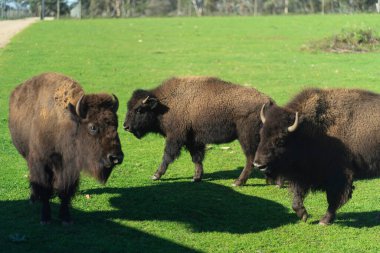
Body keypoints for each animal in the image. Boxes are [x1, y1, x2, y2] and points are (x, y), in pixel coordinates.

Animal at [8, 72, 124, 224]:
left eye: (116, 124)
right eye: (93, 127)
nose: (116, 157)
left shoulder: (70, 167)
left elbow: (65, 191)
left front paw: (65, 217)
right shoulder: (41, 163)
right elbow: (45, 190)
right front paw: (45, 217)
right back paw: (33, 198)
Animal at [123, 76, 272, 185]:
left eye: (139, 110)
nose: (125, 126)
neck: (165, 104)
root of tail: (268, 101)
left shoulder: (175, 137)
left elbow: (167, 156)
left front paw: (156, 175)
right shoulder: (193, 140)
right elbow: (196, 158)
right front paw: (196, 177)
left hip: (246, 138)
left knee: (250, 159)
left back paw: (238, 182)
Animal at [252, 88, 380, 225]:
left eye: (280, 140)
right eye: (261, 135)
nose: (259, 165)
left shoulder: (338, 175)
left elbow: (335, 198)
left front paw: (324, 221)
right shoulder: (301, 175)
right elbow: (297, 194)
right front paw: (303, 215)